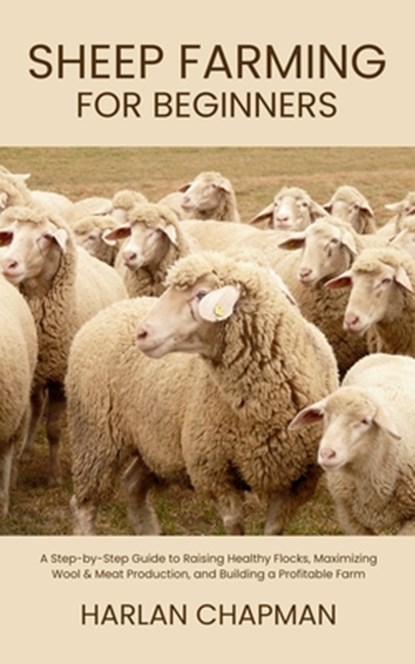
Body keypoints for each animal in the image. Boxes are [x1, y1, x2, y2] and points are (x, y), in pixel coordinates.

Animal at [0, 205, 128, 485]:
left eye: (45, 237)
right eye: (10, 234)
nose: (8, 264)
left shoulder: (59, 378)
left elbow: (54, 430)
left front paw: (54, 476)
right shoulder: (30, 375)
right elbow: (30, 416)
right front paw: (15, 471)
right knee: (37, 407)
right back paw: (26, 451)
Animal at [67, 251, 339, 536]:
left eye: (201, 294)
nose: (141, 333)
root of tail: (109, 311)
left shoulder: (298, 481)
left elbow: (273, 530)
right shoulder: (214, 472)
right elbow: (234, 525)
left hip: (156, 443)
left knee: (132, 484)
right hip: (95, 438)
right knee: (84, 504)